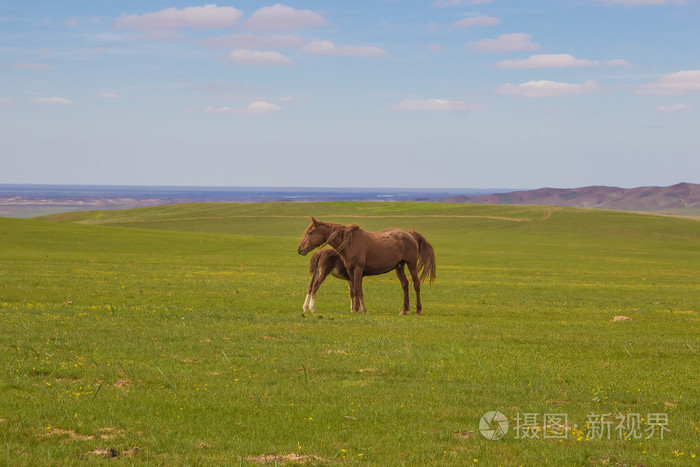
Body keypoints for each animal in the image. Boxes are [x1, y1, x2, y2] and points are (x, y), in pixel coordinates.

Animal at [297, 218, 436, 315]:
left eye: (310, 232)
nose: (299, 249)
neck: (350, 243)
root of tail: (410, 234)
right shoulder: (350, 271)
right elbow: (355, 290)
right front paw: (355, 309)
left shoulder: (358, 269)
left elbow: (358, 290)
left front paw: (362, 310)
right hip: (399, 266)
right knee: (405, 285)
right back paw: (404, 310)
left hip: (411, 264)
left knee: (416, 284)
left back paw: (418, 310)